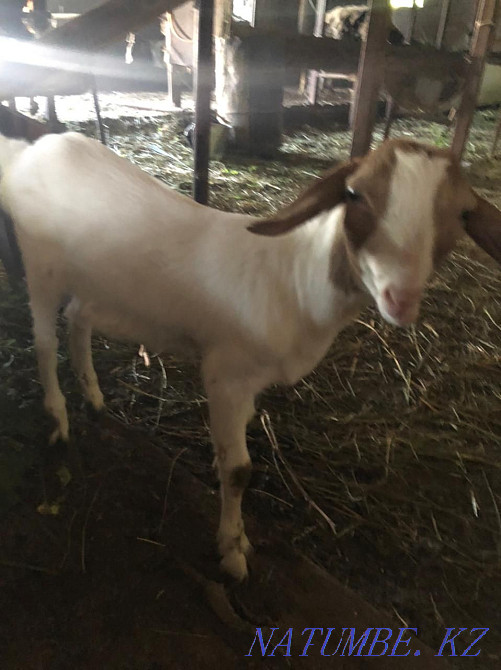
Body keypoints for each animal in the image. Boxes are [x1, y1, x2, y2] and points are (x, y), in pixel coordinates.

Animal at [1, 132, 500, 581]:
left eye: (462, 213)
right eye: (354, 194)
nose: (401, 298)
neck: (293, 279)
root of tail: (27, 153)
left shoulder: (246, 382)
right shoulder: (226, 373)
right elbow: (239, 469)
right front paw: (233, 549)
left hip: (98, 283)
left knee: (78, 318)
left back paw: (93, 397)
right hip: (40, 262)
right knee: (43, 339)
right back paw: (59, 420)